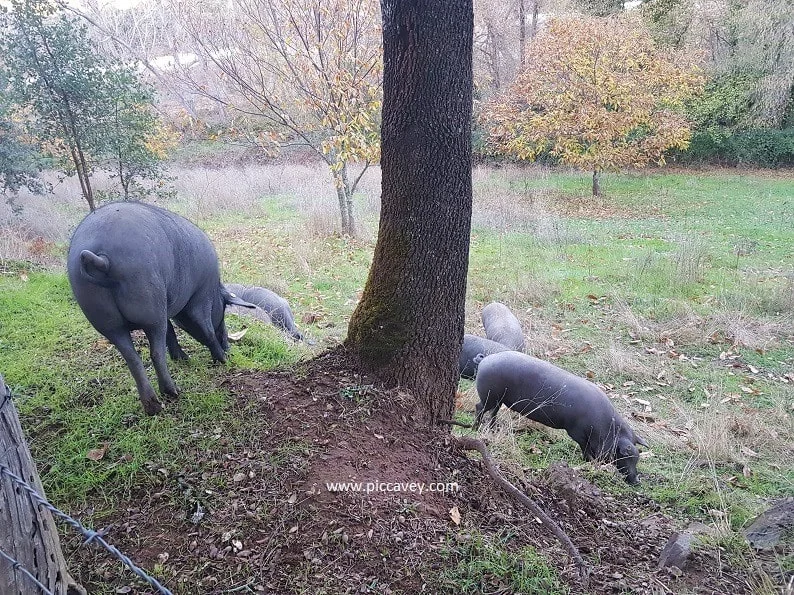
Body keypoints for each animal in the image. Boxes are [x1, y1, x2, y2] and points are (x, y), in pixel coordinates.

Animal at [69, 201, 254, 414]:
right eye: (223, 309)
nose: (229, 349)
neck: (214, 288)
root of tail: (101, 258)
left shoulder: (166, 308)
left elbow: (171, 332)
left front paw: (184, 359)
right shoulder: (200, 298)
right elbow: (205, 329)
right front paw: (223, 360)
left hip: (106, 320)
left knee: (132, 358)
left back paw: (153, 406)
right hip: (149, 306)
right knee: (156, 353)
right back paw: (172, 392)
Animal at [474, 352, 648, 482]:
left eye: (638, 457)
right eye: (626, 457)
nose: (637, 481)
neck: (606, 429)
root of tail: (485, 360)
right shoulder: (576, 431)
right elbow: (584, 447)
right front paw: (590, 461)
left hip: (498, 399)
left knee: (493, 413)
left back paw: (492, 429)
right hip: (489, 396)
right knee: (479, 408)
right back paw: (476, 428)